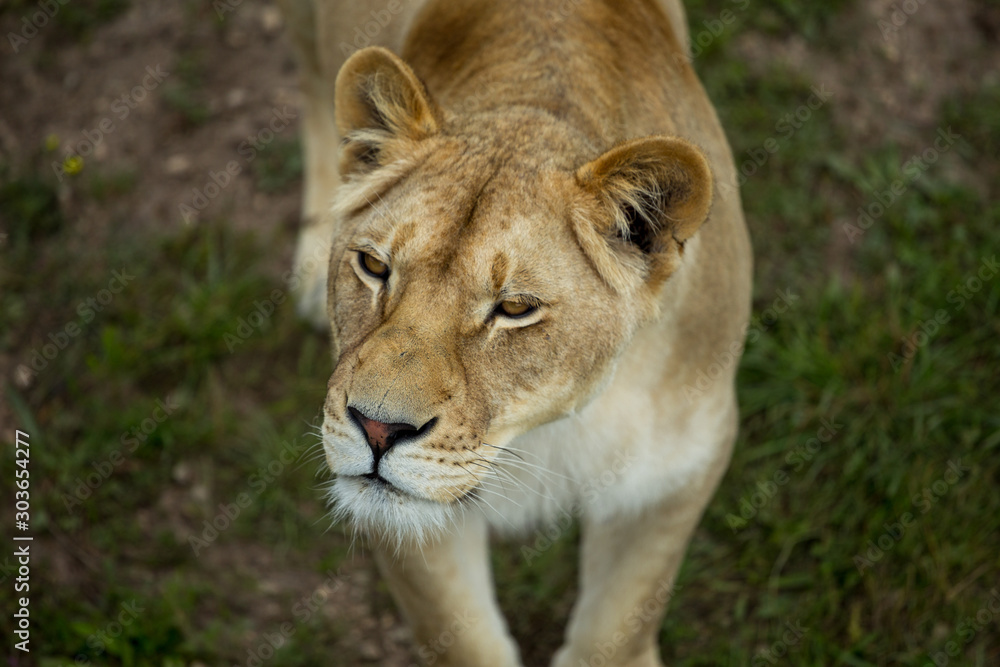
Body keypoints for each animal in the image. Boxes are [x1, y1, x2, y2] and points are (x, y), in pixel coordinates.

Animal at [278, 0, 752, 664]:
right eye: (373, 266)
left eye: (516, 307)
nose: (376, 429)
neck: (545, 428)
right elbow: (463, 640)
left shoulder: (679, 468)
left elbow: (617, 626)